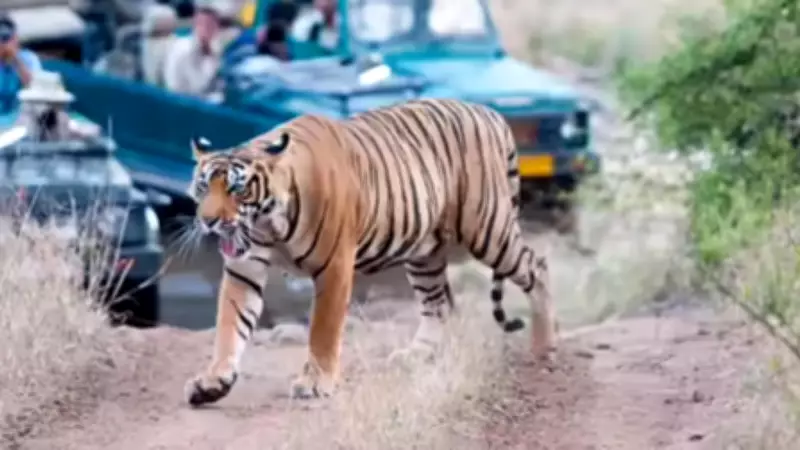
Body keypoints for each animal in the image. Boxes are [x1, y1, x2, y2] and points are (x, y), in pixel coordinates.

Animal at [184, 98, 556, 406]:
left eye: (236, 189)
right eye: (203, 187)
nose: (209, 221)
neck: (268, 224)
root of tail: (490, 113)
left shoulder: (334, 267)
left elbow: (323, 330)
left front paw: (315, 383)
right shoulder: (244, 269)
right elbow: (230, 326)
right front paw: (213, 382)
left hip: (487, 229)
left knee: (537, 267)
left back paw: (544, 348)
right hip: (424, 252)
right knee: (437, 304)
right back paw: (416, 355)